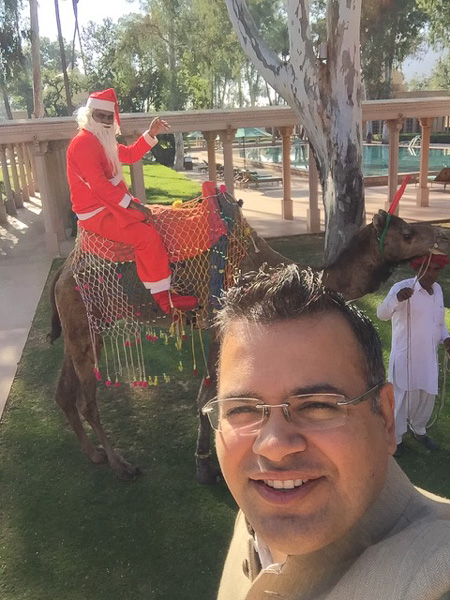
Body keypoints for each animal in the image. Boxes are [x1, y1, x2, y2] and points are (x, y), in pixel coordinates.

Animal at [48, 192, 450, 482]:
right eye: (407, 233)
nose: (441, 235)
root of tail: (62, 273)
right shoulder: (218, 325)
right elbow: (205, 398)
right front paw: (205, 467)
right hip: (84, 321)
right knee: (87, 400)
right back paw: (122, 466)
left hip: (80, 328)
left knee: (64, 390)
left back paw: (95, 455)